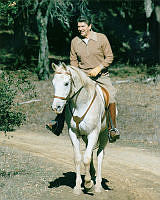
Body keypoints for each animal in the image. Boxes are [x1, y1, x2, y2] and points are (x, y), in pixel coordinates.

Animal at [51, 62, 109, 194]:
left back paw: (98, 185)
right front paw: (78, 186)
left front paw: (88, 184)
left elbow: (86, 158)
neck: (81, 104)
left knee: (99, 155)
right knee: (91, 152)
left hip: (103, 135)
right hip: (86, 137)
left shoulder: (93, 133)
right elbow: (78, 158)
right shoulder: (73, 133)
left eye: (66, 83)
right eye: (53, 83)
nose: (56, 107)